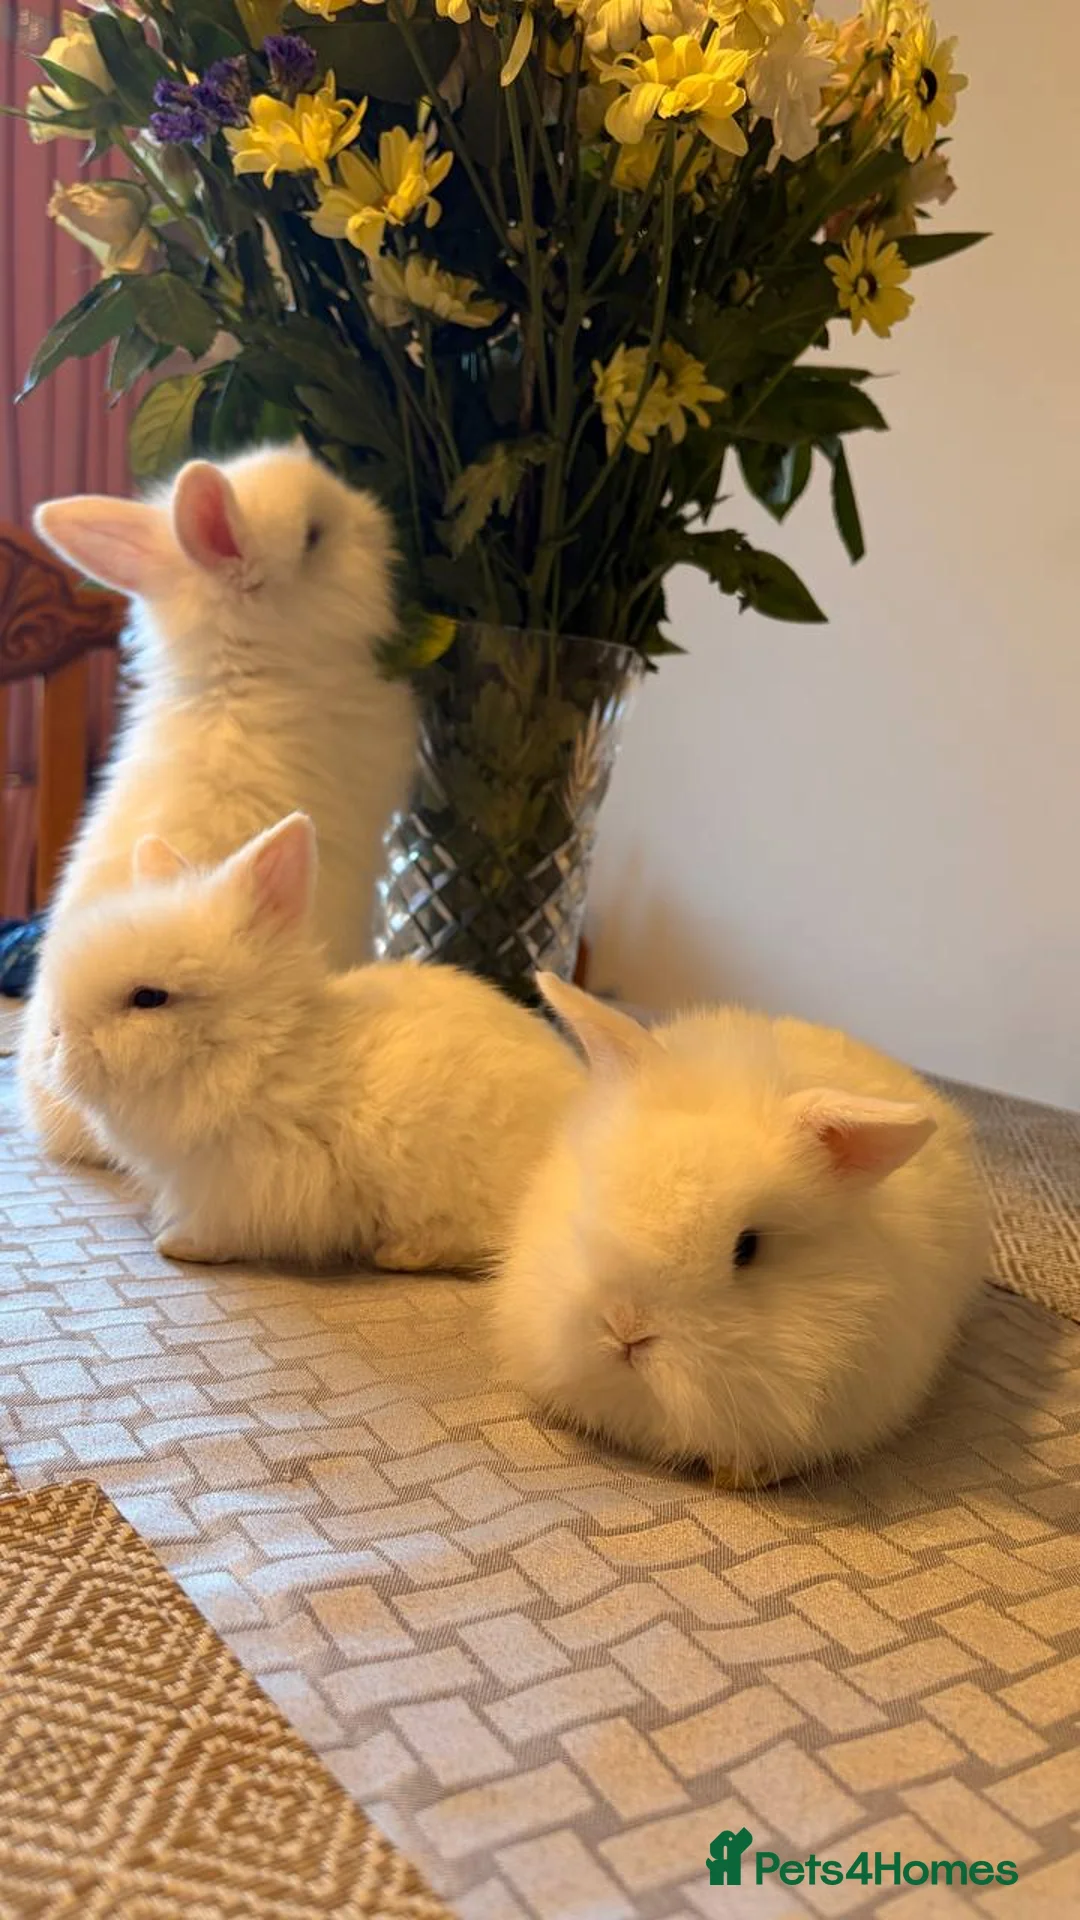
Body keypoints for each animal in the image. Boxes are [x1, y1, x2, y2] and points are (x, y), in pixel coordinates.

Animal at [37, 813, 585, 1272]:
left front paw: (177, 1246)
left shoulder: (247, 1185)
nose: (57, 1037)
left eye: (149, 998)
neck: (256, 1056)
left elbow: (223, 1231)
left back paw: (401, 1253)